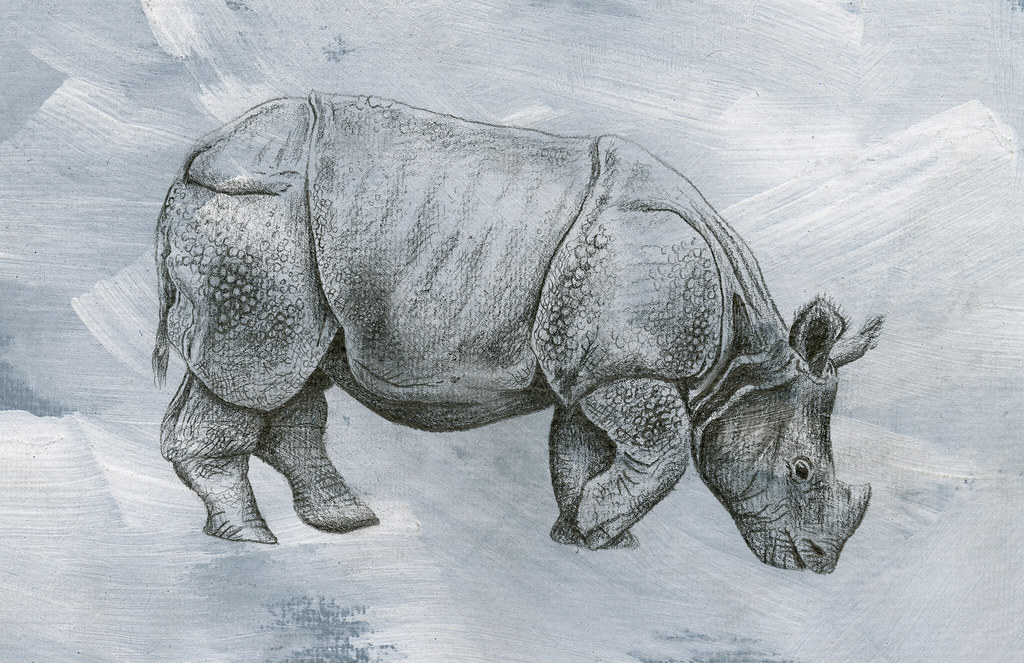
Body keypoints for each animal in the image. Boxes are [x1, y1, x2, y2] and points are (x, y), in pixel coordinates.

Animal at [153, 92, 883, 572]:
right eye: (801, 470)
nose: (818, 562)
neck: (743, 362)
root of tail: (199, 156)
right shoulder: (630, 369)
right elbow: (667, 451)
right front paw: (597, 526)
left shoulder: (595, 368)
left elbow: (578, 451)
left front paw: (590, 535)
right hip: (257, 220)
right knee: (254, 370)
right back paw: (252, 539)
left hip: (280, 237)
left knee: (291, 371)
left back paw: (344, 519)